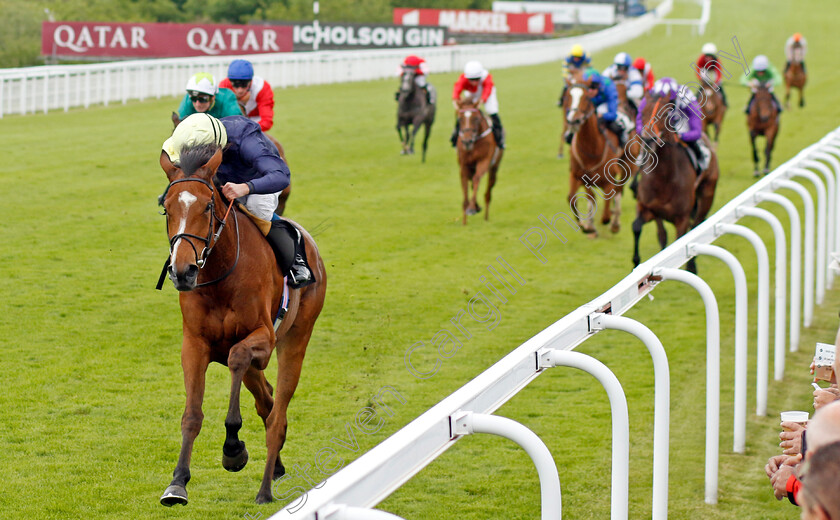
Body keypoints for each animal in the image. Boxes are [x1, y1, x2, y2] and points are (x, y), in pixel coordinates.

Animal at [158, 144, 328, 506]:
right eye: (167, 209)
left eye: (207, 206)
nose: (182, 272)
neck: (220, 278)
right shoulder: (194, 344)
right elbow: (192, 414)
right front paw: (177, 483)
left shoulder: (263, 338)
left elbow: (237, 356)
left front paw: (233, 447)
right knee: (266, 401)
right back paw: (275, 467)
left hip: (296, 338)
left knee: (277, 414)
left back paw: (265, 490)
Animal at [564, 80, 632, 236]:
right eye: (568, 96)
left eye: (586, 98)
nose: (573, 121)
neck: (592, 148)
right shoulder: (579, 175)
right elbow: (575, 198)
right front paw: (586, 225)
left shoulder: (609, 179)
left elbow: (606, 211)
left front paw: (608, 221)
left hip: (628, 164)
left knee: (619, 191)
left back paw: (615, 223)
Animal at [632, 92, 720, 274]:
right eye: (642, 112)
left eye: (666, 113)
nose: (648, 139)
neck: (664, 178)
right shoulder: (647, 208)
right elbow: (636, 227)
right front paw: (636, 262)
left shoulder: (682, 218)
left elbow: (683, 240)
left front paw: (689, 267)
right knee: (662, 234)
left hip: (707, 195)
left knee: (696, 225)